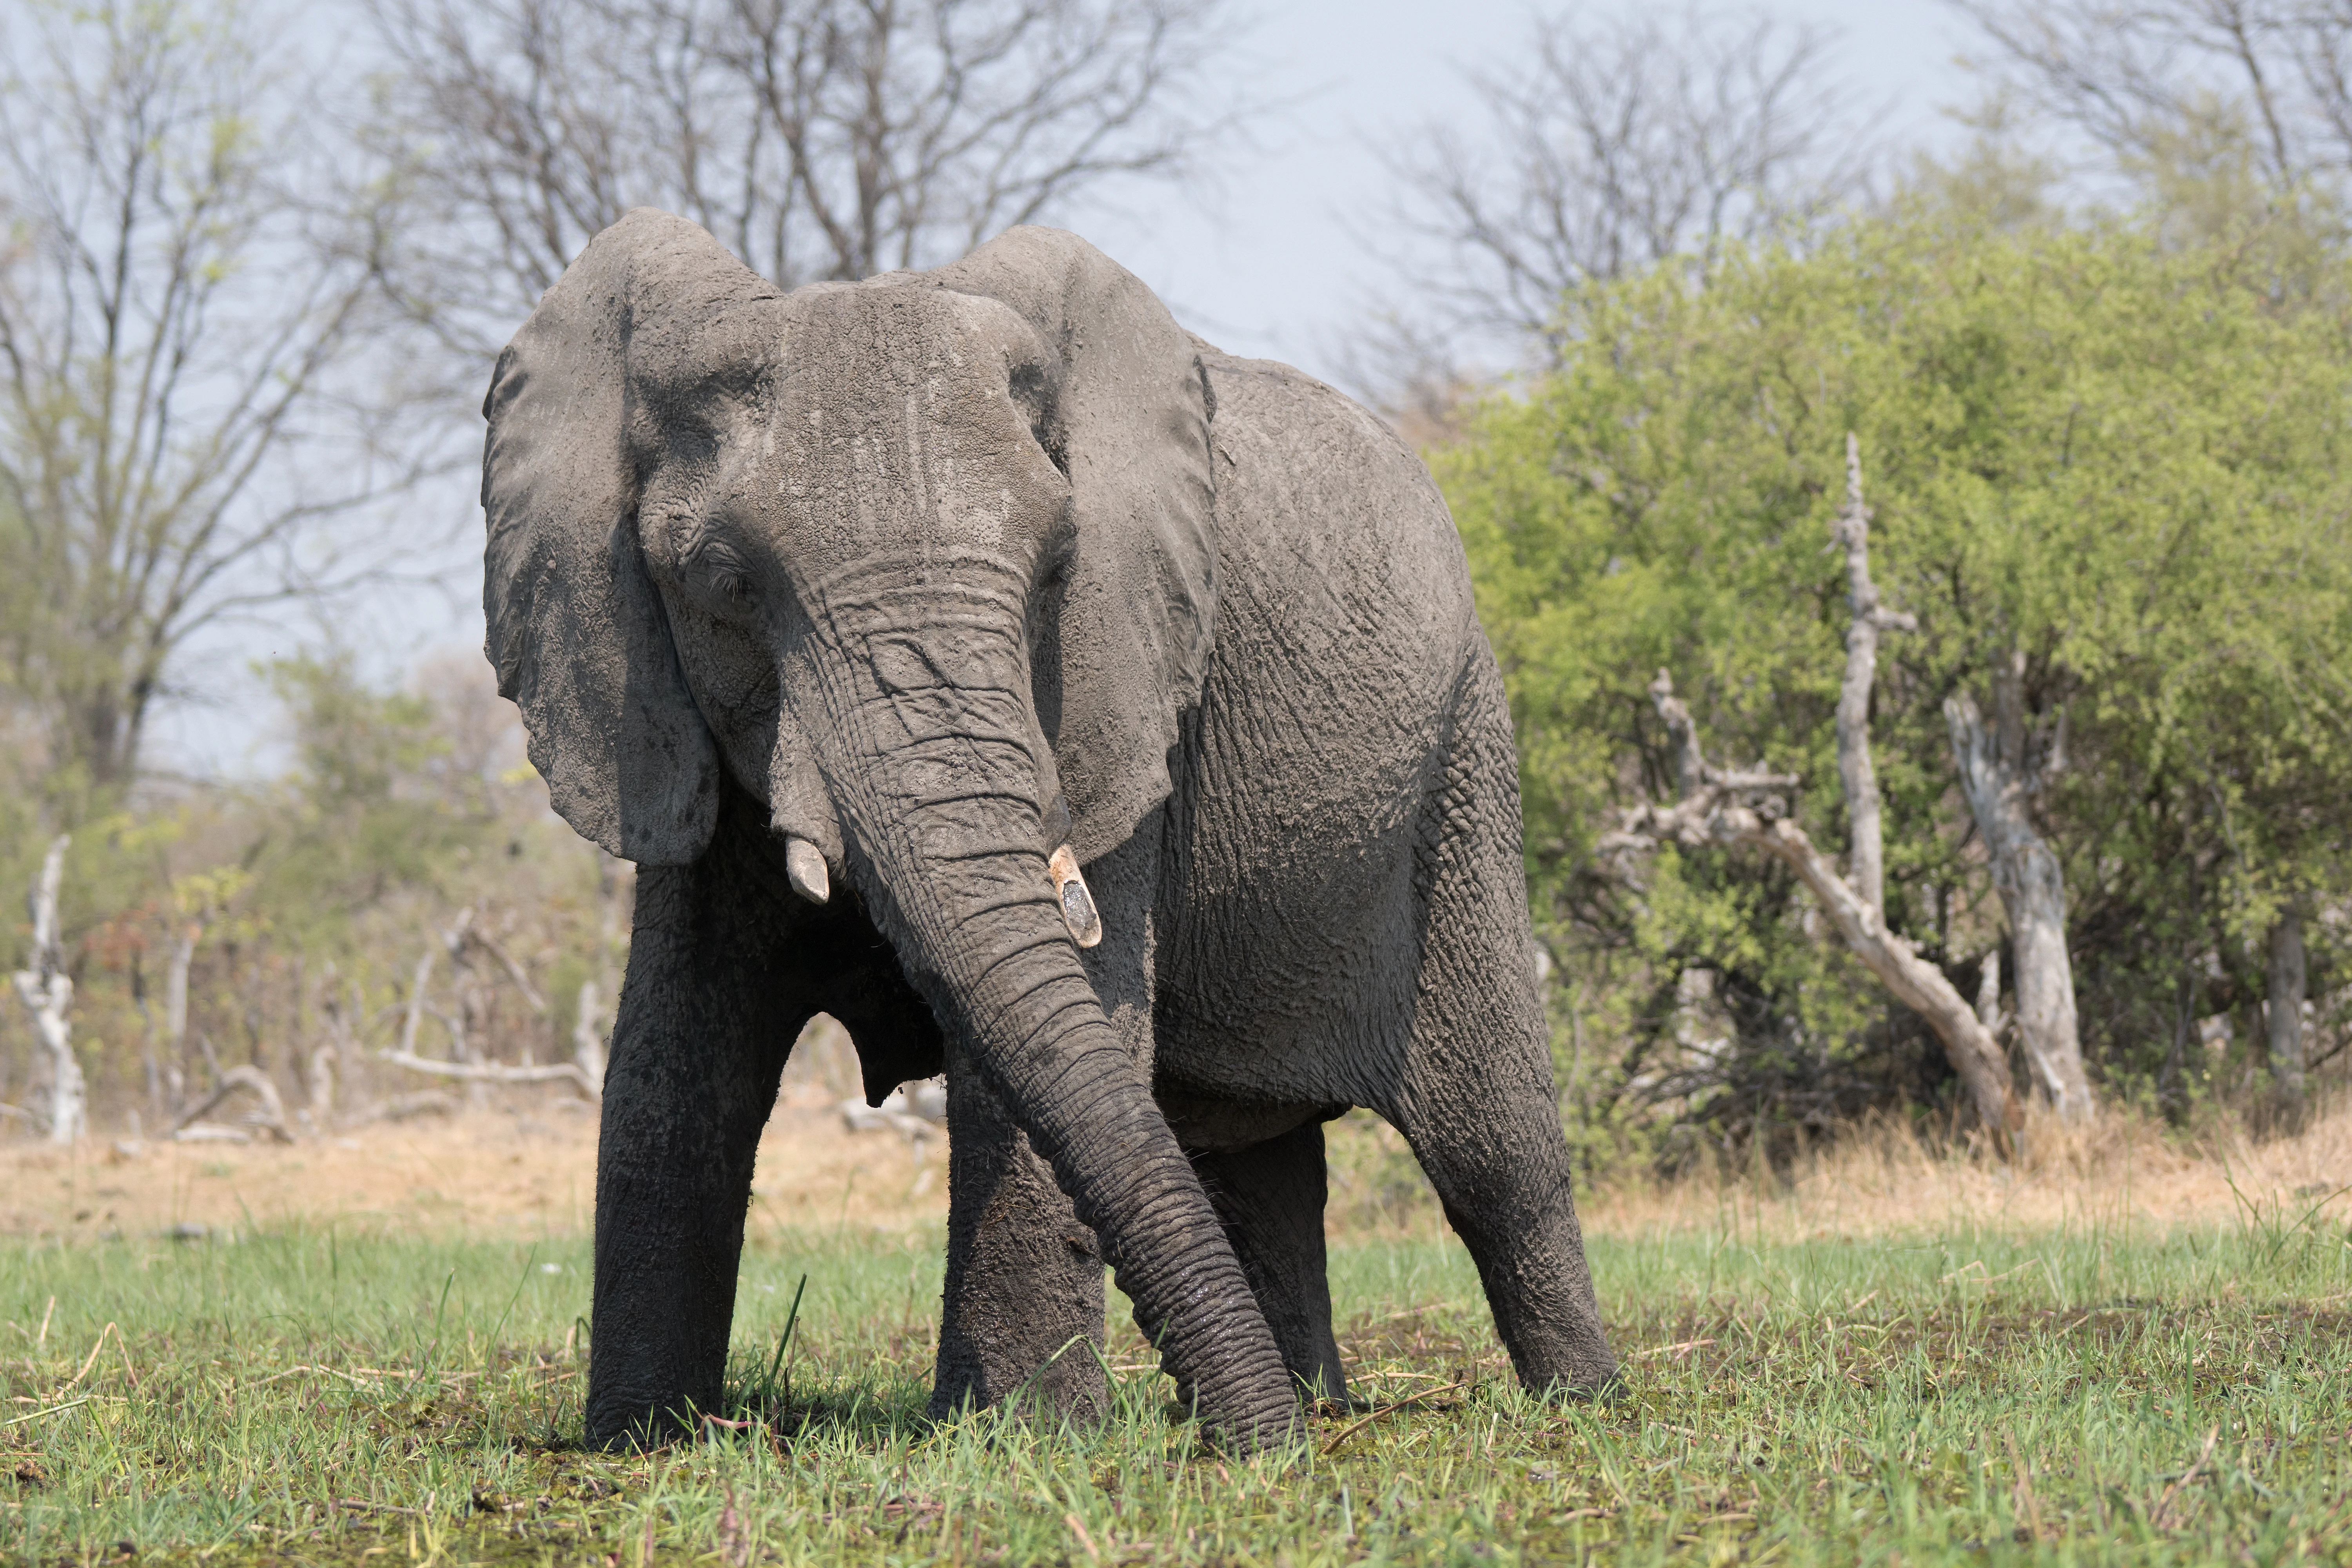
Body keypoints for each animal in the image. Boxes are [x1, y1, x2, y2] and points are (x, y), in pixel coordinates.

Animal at [480, 208, 1619, 1450]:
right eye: (723, 582)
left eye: (1057, 569)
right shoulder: (670, 725)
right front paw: (639, 1438)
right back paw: (1313, 1402)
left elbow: (1048, 1048)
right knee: (1259, 1164)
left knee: (1493, 1145)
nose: (1272, 1458)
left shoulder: (1122, 695)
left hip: (1462, 758)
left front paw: (1027, 1438)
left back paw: (1579, 1405)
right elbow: (672, 1068)